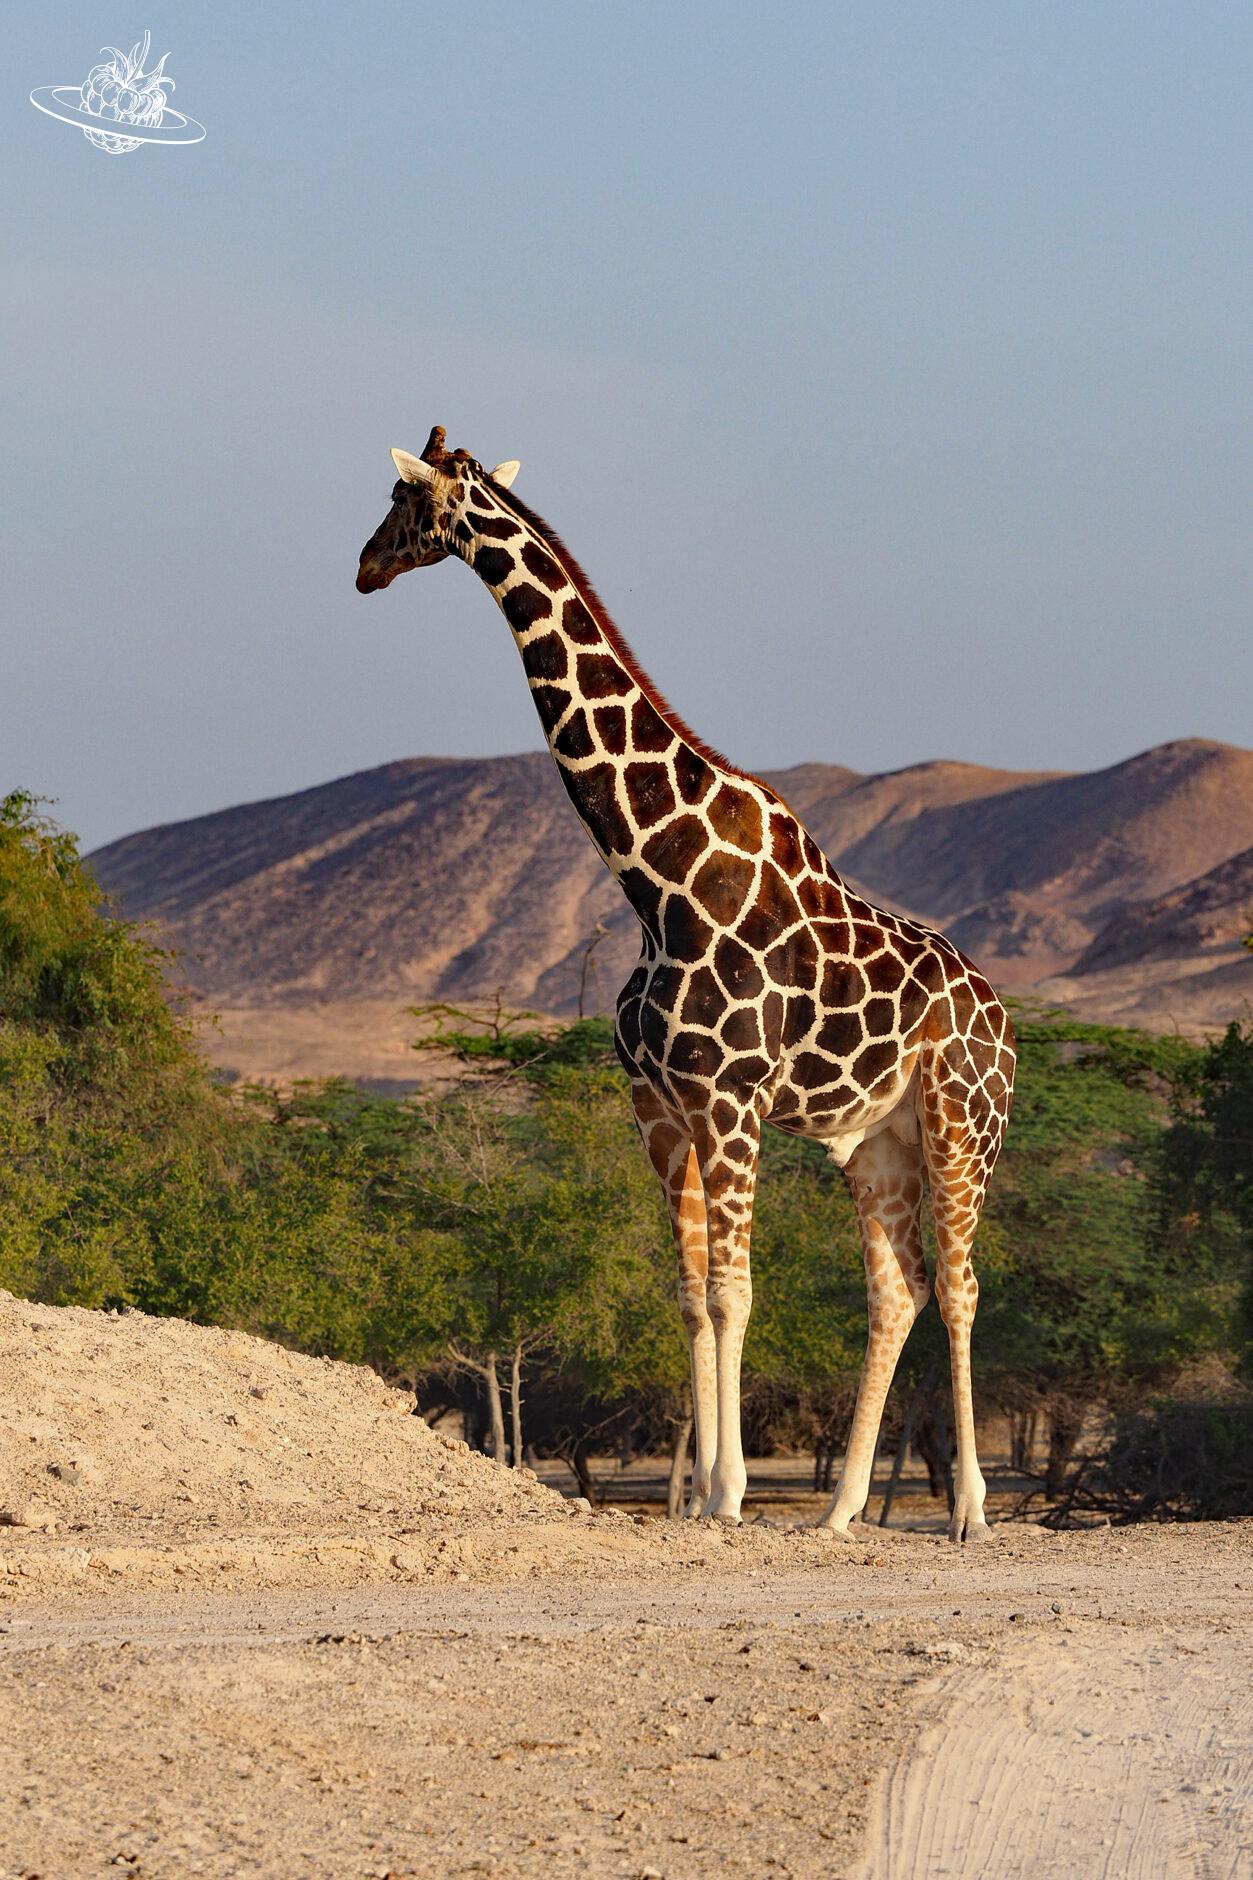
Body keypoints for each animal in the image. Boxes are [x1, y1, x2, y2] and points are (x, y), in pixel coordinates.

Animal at [357, 426, 1016, 1543]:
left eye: (402, 499)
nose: (362, 565)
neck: (655, 876)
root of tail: (1007, 1024)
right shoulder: (658, 1101)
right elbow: (689, 1288)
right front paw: (705, 1492)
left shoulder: (730, 1097)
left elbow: (734, 1291)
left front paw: (729, 1491)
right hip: (872, 1139)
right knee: (900, 1287)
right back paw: (839, 1507)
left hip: (957, 1119)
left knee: (963, 1284)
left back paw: (967, 1507)